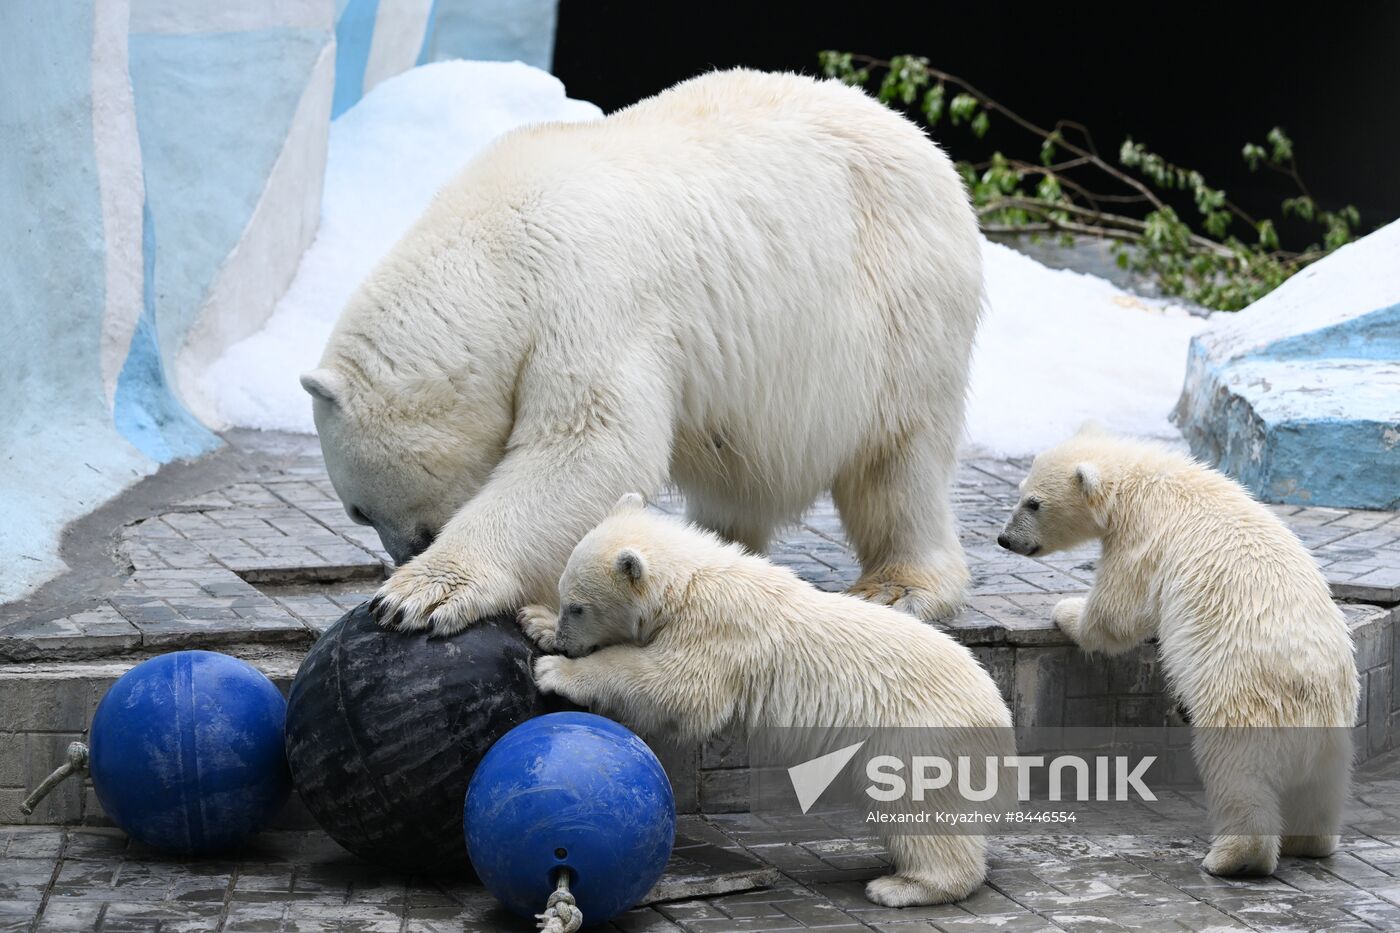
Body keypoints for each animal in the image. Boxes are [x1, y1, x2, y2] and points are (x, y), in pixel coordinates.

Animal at [303, 68, 985, 627]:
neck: (493, 254)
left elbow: (589, 446)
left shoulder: (586, 295)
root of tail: (920, 140)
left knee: (898, 455)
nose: (404, 552)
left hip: (898, 301)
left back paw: (898, 585)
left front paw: (419, 595)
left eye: (360, 509)